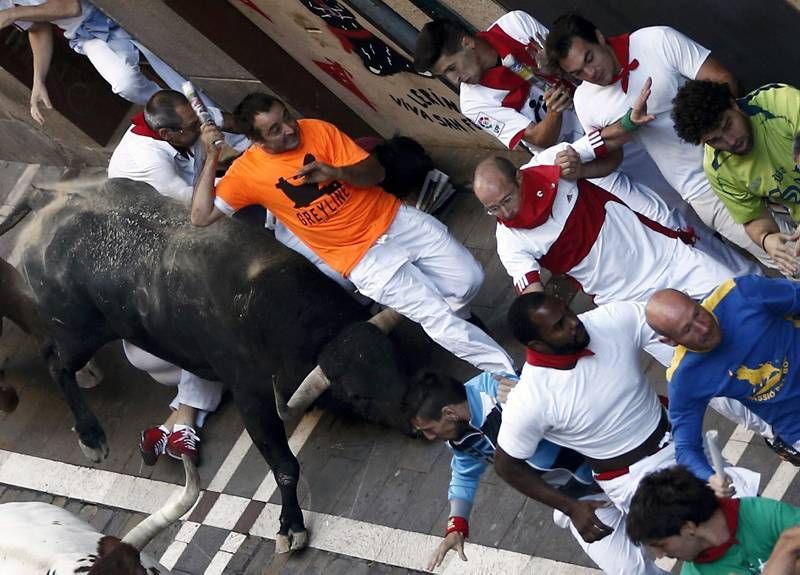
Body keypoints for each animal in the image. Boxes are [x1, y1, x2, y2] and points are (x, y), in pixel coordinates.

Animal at [3, 180, 428, 552]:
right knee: (56, 363)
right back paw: (91, 434)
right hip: (78, 331)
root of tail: (47, 199)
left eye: (395, 362)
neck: (264, 303)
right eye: (358, 396)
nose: (418, 425)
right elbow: (285, 465)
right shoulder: (252, 399)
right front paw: (290, 527)